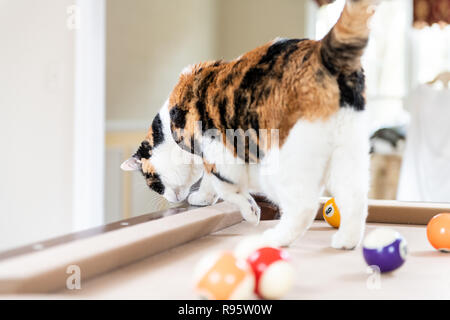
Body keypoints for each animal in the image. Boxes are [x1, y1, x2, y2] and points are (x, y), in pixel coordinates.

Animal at [121, 0, 378, 249]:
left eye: (152, 182)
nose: (171, 200)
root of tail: (323, 52)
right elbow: (211, 182)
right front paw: (204, 198)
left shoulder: (219, 152)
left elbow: (226, 187)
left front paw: (250, 211)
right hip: (347, 152)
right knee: (355, 197)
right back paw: (346, 241)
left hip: (281, 164)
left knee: (304, 205)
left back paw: (277, 238)